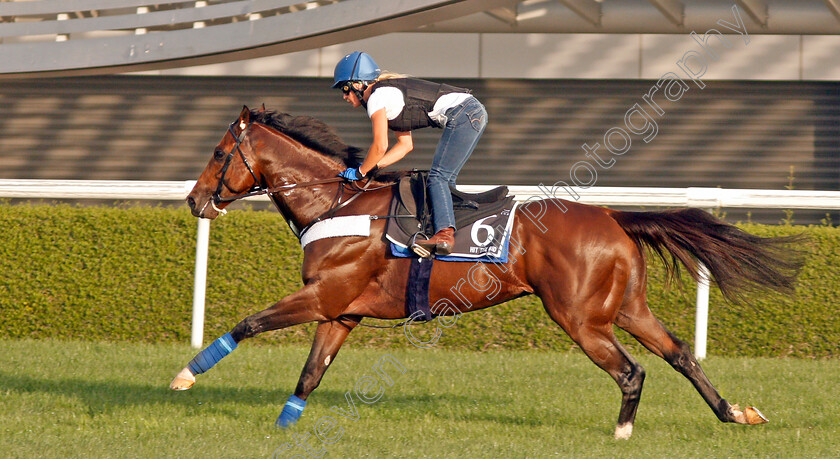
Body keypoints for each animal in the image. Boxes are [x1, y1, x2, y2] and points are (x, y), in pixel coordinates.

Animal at [169, 106, 800, 440]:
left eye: (218, 154)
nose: (194, 201)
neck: (336, 204)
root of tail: (612, 216)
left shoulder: (324, 296)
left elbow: (250, 322)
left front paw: (185, 376)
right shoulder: (341, 311)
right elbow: (309, 375)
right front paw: (282, 428)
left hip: (579, 317)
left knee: (632, 370)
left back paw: (622, 433)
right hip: (626, 306)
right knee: (680, 354)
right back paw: (735, 412)